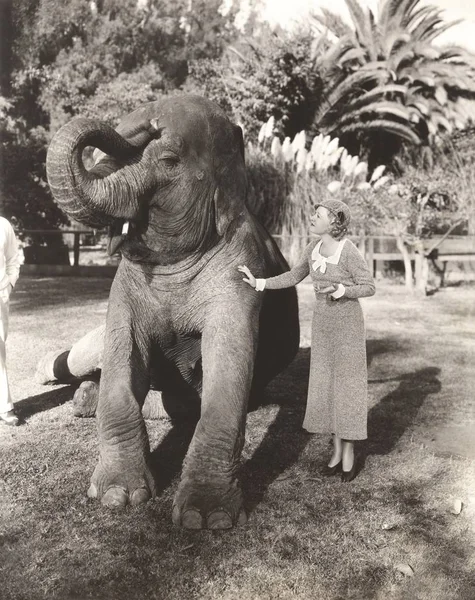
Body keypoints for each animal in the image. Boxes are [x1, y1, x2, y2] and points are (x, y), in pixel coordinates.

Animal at [42, 95, 300, 528]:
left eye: (167, 160)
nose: (149, 122)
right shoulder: (125, 285)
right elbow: (122, 355)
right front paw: (115, 496)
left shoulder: (243, 271)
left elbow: (227, 368)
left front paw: (205, 517)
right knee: (83, 357)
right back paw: (77, 392)